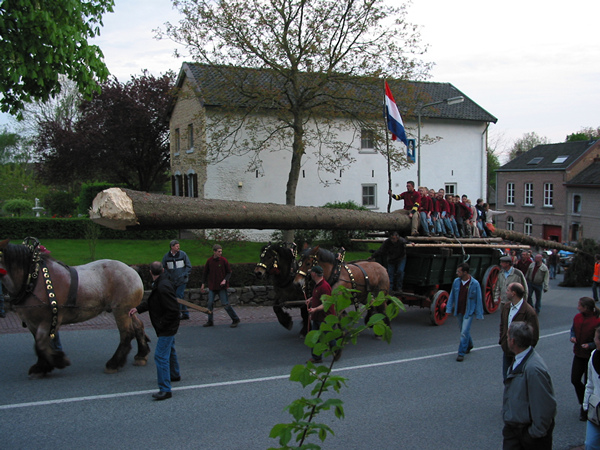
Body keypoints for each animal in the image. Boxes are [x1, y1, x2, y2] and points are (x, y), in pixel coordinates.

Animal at [0, 239, 150, 376]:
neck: (33, 278)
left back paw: (113, 363)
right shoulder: (31, 322)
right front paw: (42, 366)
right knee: (138, 326)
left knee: (126, 334)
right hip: (129, 310)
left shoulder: (49, 320)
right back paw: (141, 354)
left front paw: (58, 360)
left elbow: (41, 343)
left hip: (120, 310)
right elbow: (38, 344)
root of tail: (131, 269)